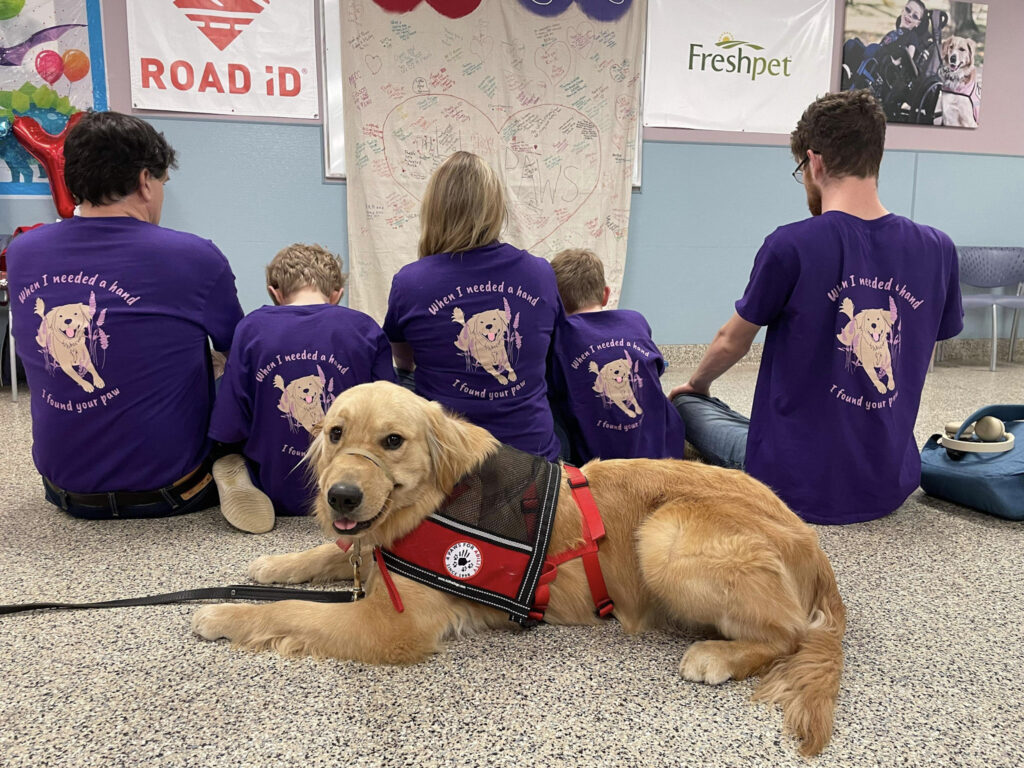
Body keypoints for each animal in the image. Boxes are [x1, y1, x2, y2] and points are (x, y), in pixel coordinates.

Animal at [193, 382, 847, 753]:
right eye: (335, 433)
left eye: (392, 441)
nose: (342, 497)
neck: (433, 498)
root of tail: (814, 548)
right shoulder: (370, 548)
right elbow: (332, 553)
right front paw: (272, 561)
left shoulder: (391, 625)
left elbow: (289, 613)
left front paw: (220, 612)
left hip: (665, 537)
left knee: (789, 633)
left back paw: (716, 655)